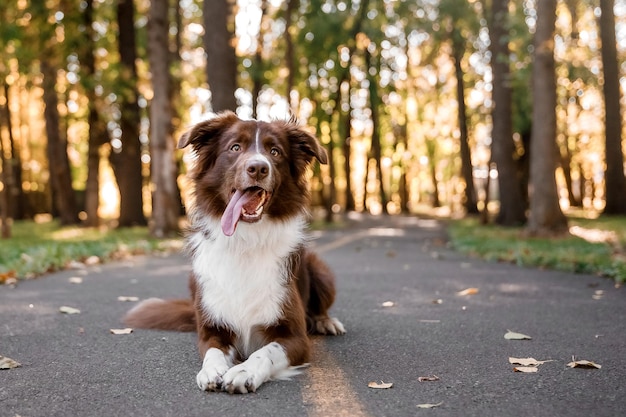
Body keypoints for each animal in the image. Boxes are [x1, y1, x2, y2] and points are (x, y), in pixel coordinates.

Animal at [123, 111, 344, 394]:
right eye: (235, 148)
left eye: (275, 151)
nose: (258, 168)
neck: (245, 241)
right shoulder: (211, 329)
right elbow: (213, 352)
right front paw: (213, 370)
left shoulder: (295, 337)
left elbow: (265, 352)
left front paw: (243, 371)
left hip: (318, 267)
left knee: (320, 306)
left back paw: (326, 321)